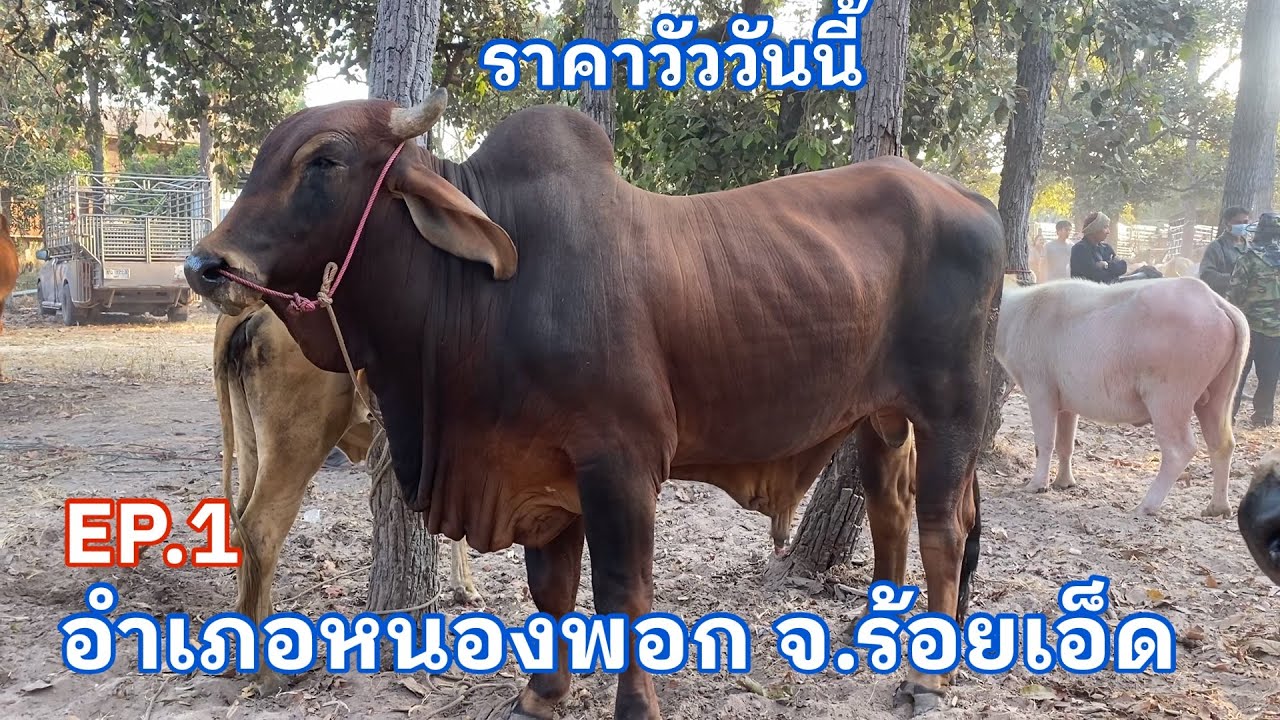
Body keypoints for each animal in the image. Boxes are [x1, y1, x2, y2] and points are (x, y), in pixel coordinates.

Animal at [214, 300, 481, 690]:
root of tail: (256, 308)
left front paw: (464, 586)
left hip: (252, 447)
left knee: (242, 534)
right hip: (298, 447)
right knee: (261, 534)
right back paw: (268, 672)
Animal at [994, 277, 1248, 518]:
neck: (1018, 314)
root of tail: (1215, 301)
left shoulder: (1040, 390)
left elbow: (1044, 442)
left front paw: (1036, 485)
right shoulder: (1066, 403)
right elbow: (1065, 444)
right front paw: (1063, 482)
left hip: (1169, 399)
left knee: (1179, 449)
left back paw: (1146, 505)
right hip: (1219, 395)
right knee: (1222, 443)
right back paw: (1217, 507)